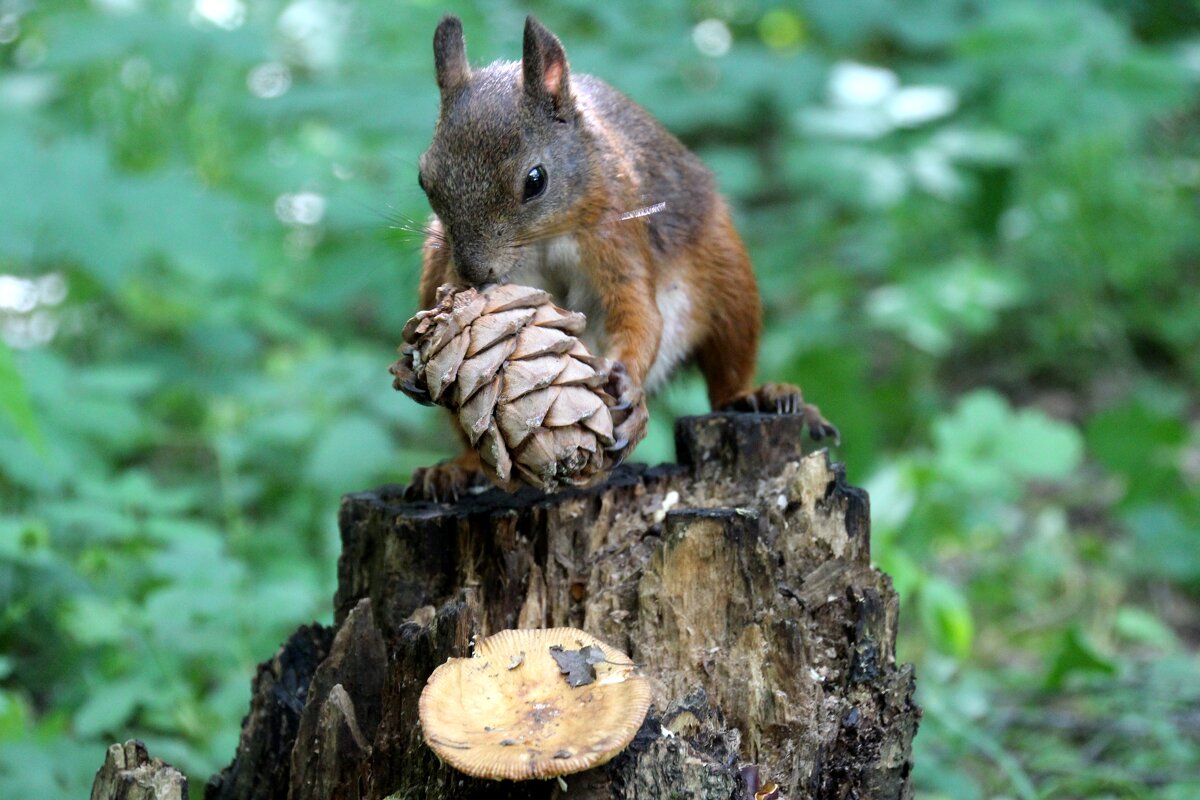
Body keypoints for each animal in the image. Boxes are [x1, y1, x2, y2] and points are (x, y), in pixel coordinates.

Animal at [403, 14, 835, 501]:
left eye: (535, 180)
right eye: (424, 179)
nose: (474, 273)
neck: (545, 237)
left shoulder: (615, 237)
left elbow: (638, 313)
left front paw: (625, 377)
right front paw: (415, 359)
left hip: (729, 280)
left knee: (726, 373)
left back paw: (758, 396)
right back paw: (456, 469)